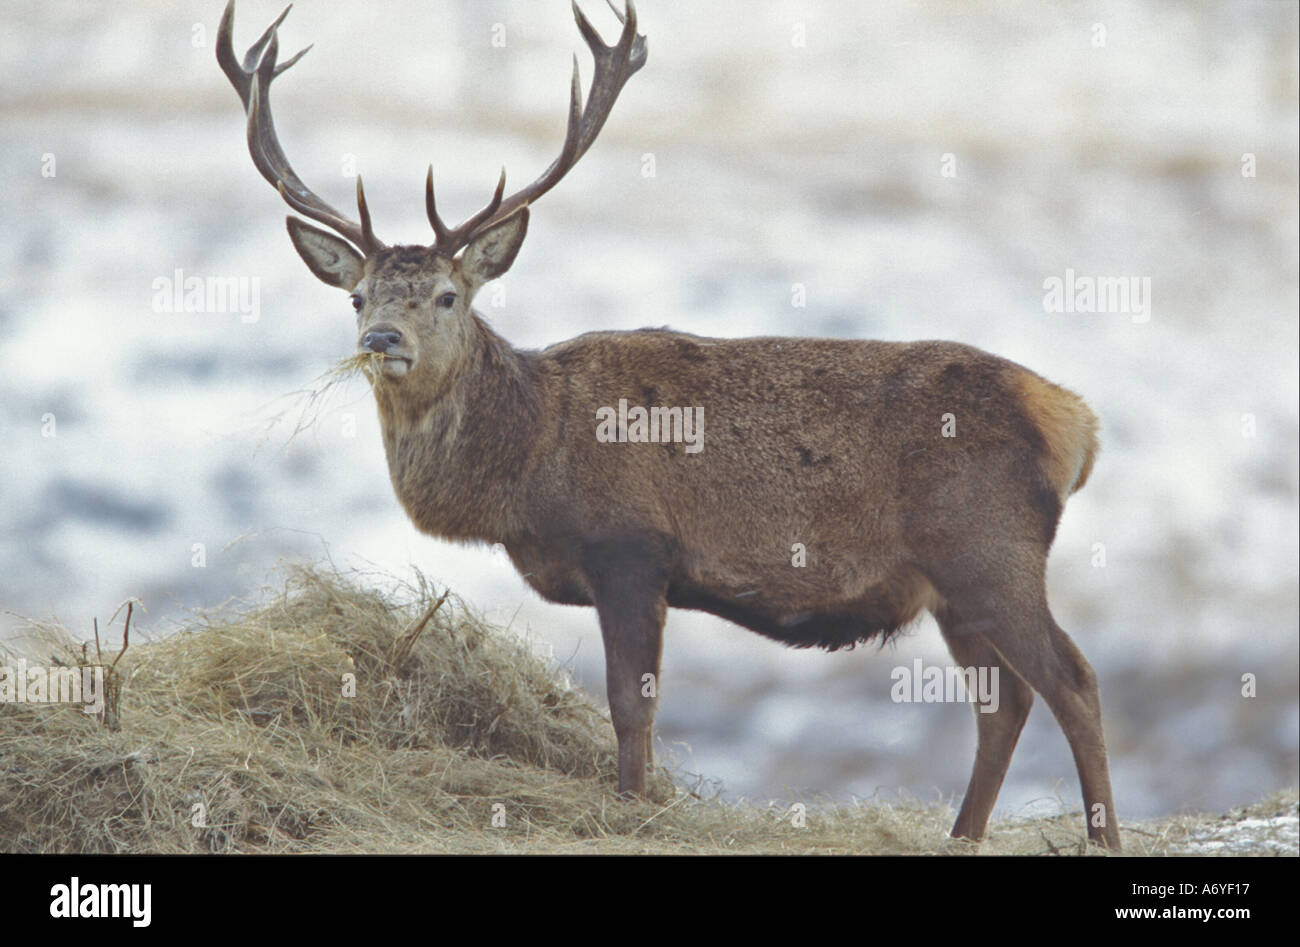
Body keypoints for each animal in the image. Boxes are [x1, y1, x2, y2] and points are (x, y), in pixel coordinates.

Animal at [218, 0, 1121, 849]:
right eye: (356, 296)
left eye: (446, 294)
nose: (381, 341)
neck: (529, 465)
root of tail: (1075, 421)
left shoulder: (630, 546)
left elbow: (631, 702)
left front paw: (631, 807)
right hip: (952, 584)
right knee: (1004, 702)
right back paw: (962, 834)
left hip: (989, 548)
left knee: (1072, 679)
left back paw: (1100, 834)